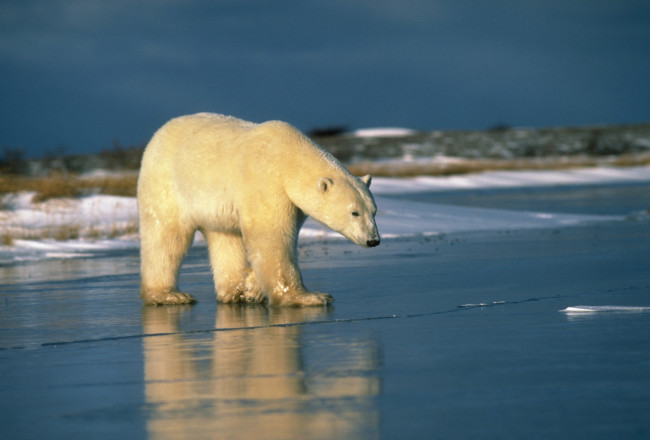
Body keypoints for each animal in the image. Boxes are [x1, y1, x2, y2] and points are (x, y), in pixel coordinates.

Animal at [138, 113, 380, 306]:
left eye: (373, 211)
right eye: (354, 212)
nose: (373, 240)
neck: (289, 157)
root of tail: (158, 134)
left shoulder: (294, 204)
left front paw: (252, 288)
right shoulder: (265, 181)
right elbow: (272, 236)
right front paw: (310, 297)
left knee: (225, 237)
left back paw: (234, 292)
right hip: (167, 184)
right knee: (166, 237)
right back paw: (170, 295)